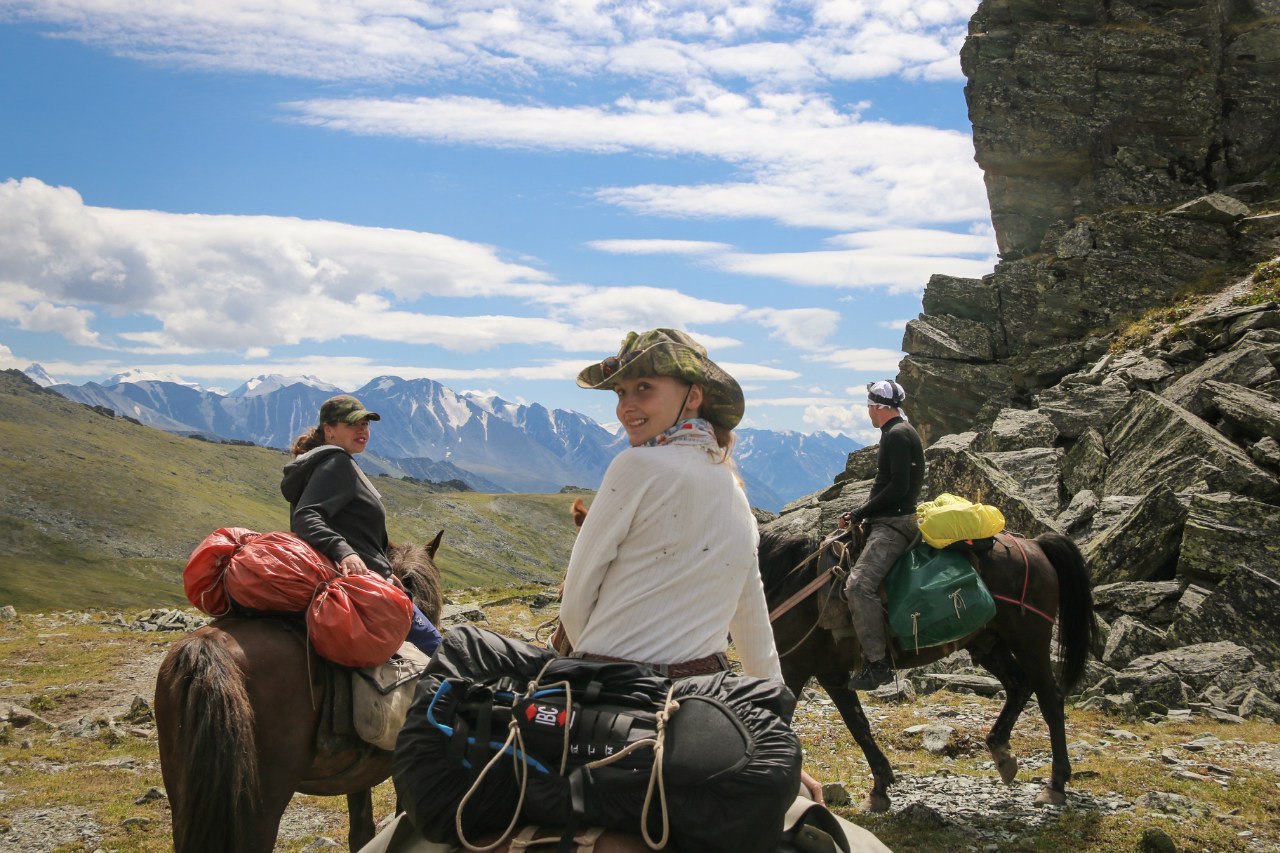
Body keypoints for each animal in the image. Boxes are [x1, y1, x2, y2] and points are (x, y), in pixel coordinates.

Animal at [752, 525, 1095, 809]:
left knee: (1050, 700)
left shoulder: (793, 667)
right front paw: (880, 789)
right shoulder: (830, 674)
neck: (790, 583)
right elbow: (859, 726)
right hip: (988, 643)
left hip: (1029, 639)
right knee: (1018, 686)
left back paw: (1055, 785)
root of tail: (1035, 545)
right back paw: (1002, 753)